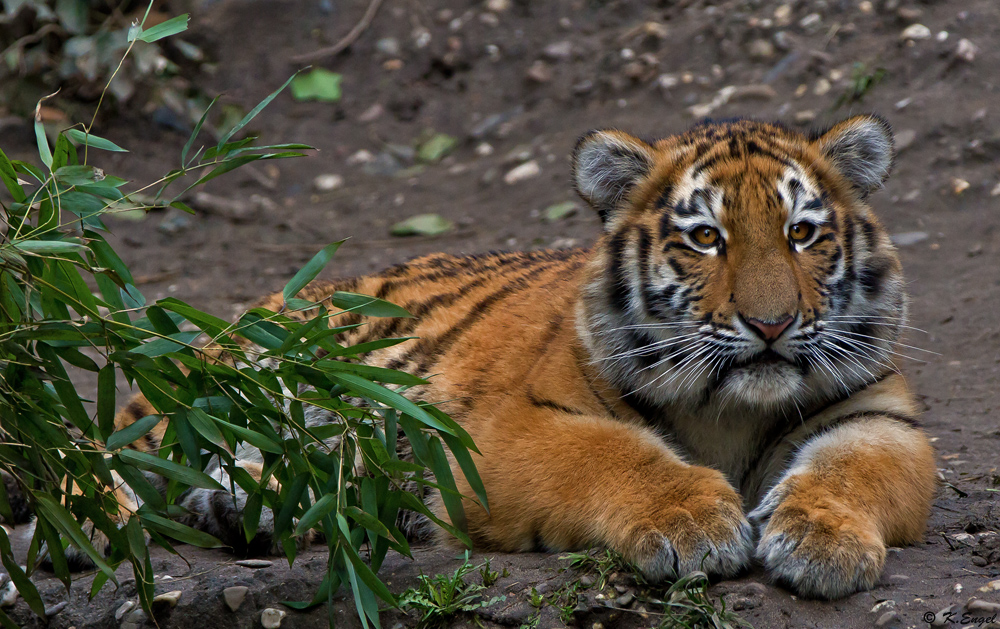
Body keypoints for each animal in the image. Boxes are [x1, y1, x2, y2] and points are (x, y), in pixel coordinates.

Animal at [13, 113, 936, 600]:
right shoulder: (515, 425)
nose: (773, 324)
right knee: (89, 447)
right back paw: (85, 529)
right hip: (194, 393)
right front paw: (693, 523)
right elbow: (617, 455)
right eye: (706, 237)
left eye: (802, 233)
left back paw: (254, 509)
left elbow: (855, 468)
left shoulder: (879, 416)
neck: (728, 409)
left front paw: (820, 541)